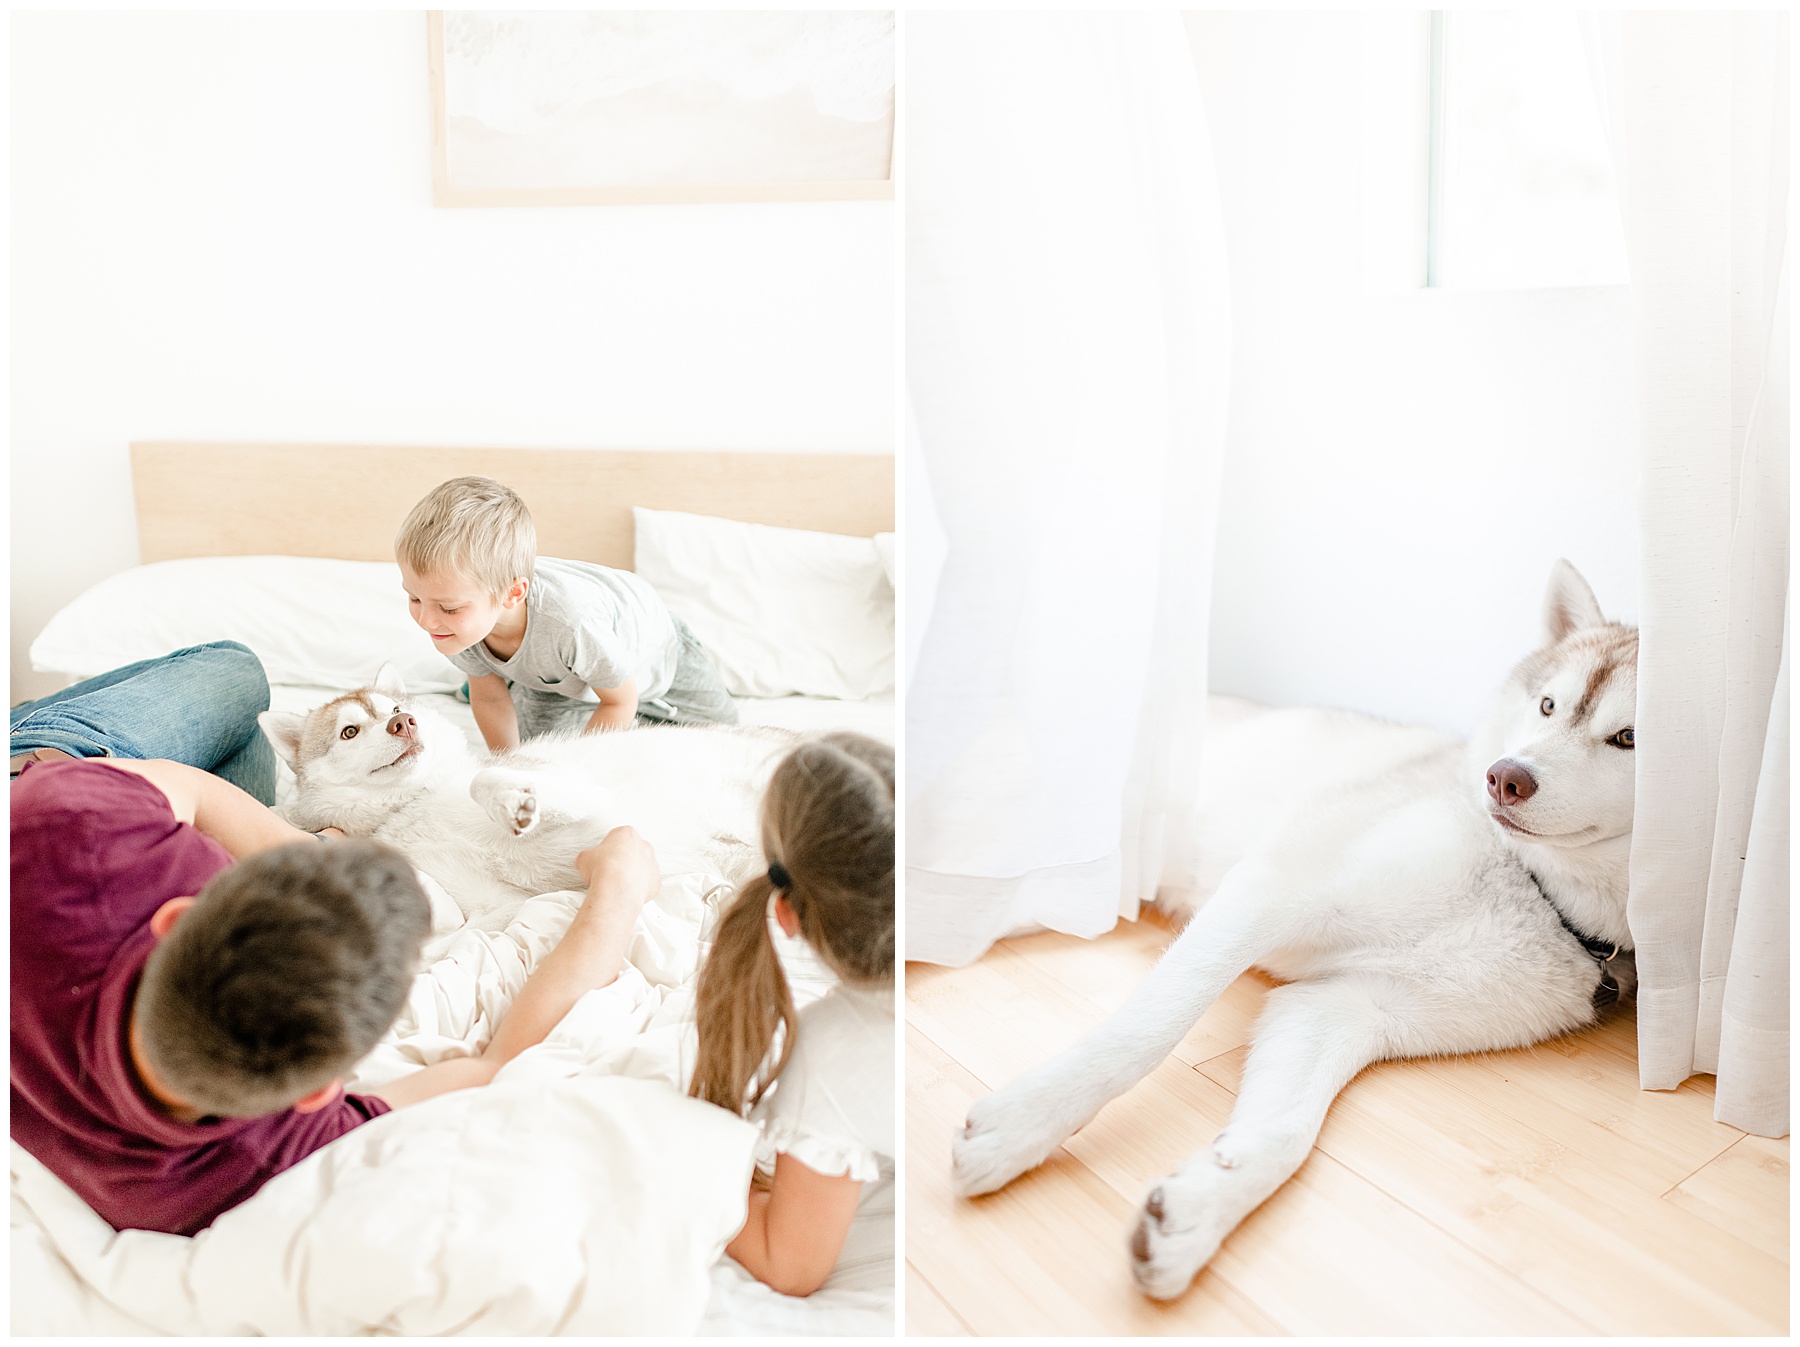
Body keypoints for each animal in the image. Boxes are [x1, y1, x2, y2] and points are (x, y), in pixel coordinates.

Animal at [262, 666, 788, 936]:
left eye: (392, 709)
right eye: (349, 732)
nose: (404, 722)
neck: (416, 802)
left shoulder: (581, 794)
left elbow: (486, 781)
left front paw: (513, 802)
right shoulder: (497, 904)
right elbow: (470, 933)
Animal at [950, 558, 1641, 1296]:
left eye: (1628, 738)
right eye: (1548, 707)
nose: (1505, 778)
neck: (1533, 887)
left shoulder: (1342, 1009)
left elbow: (1283, 1133)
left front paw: (1202, 1207)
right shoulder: (1271, 890)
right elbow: (1142, 1036)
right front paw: (1025, 1123)